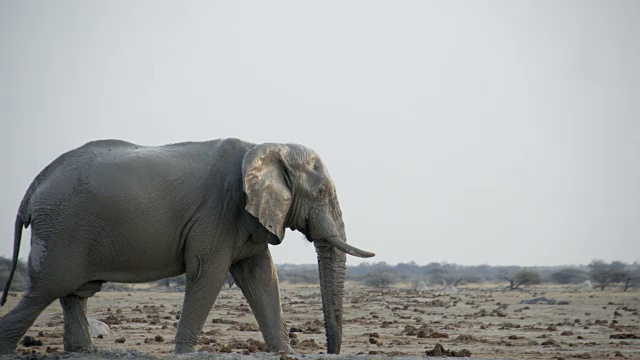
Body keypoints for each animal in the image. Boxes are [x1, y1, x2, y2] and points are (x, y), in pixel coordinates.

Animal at [0, 138, 376, 354]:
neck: (267, 146)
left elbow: (262, 277)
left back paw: (85, 353)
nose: (329, 351)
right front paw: (186, 354)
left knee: (73, 294)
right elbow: (208, 273)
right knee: (45, 290)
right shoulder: (218, 211)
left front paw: (285, 354)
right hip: (63, 228)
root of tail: (34, 187)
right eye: (321, 192)